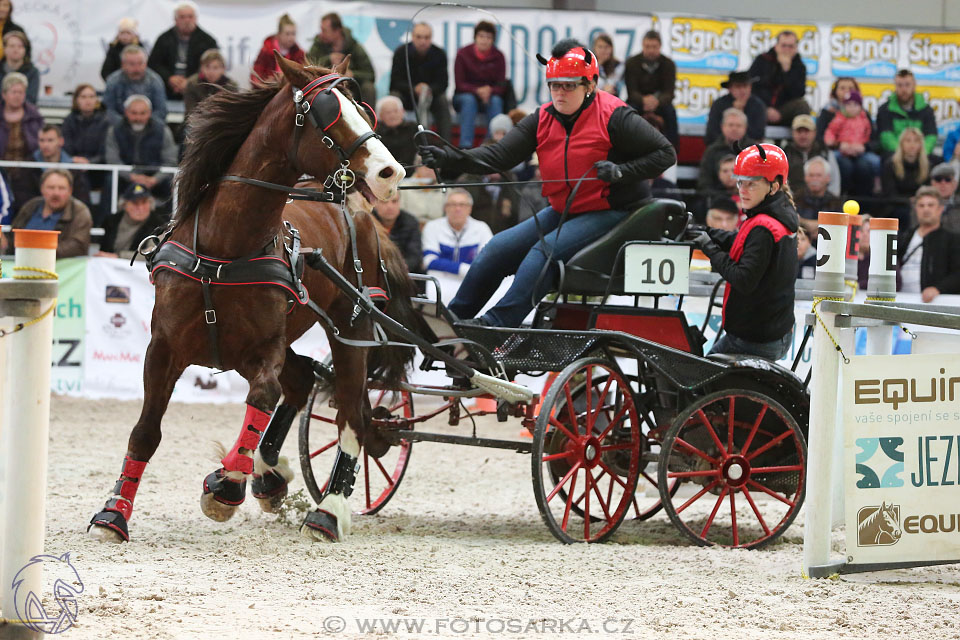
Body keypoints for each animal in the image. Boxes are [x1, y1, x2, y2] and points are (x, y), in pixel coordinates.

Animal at [90, 55, 416, 544]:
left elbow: (263, 397)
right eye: (330, 114)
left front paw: (227, 483)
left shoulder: (264, 350)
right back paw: (269, 473)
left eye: (364, 110)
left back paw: (327, 509)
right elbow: (146, 432)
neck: (225, 249)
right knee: (303, 382)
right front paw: (114, 513)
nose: (390, 172)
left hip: (352, 325)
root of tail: (363, 215)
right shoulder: (164, 348)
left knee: (351, 416)